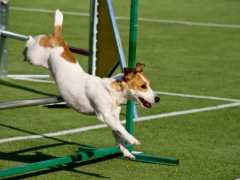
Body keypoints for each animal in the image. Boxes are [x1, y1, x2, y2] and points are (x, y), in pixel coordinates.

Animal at [23, 9, 159, 159]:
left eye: (149, 84)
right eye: (143, 86)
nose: (158, 98)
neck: (112, 92)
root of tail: (57, 38)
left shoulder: (113, 117)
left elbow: (117, 134)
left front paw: (126, 151)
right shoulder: (105, 115)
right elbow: (121, 128)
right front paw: (132, 139)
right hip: (35, 57)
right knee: (32, 41)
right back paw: (28, 40)